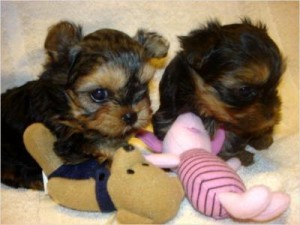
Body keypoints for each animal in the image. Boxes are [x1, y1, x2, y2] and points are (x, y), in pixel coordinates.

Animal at [0, 21, 169, 190]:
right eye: (99, 94)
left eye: (144, 86)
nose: (132, 116)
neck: (68, 105)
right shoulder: (68, 138)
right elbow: (102, 145)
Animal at [152, 18, 286, 165]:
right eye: (244, 90)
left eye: (275, 86)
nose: (272, 113)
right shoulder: (168, 116)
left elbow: (231, 140)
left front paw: (235, 157)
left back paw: (263, 139)